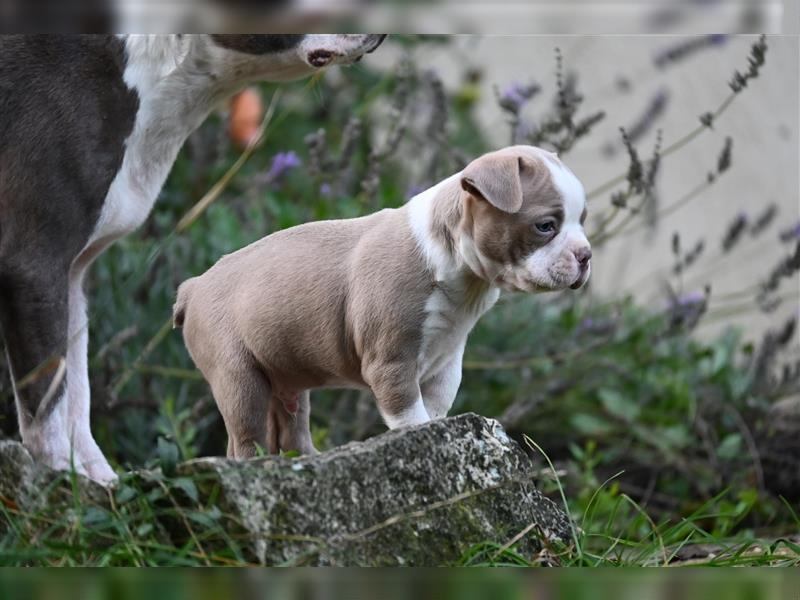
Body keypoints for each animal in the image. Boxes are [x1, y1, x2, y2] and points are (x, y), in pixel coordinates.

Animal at [0, 31, 388, 482]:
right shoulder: (33, 263)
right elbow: (47, 402)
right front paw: (62, 482)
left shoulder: (73, 275)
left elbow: (77, 389)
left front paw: (99, 482)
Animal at [173, 146, 588, 460]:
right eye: (545, 226)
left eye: (582, 221)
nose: (586, 255)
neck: (457, 265)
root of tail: (192, 287)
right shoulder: (392, 362)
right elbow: (410, 415)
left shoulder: (446, 360)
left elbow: (436, 405)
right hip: (237, 376)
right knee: (245, 437)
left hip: (282, 376)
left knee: (289, 427)